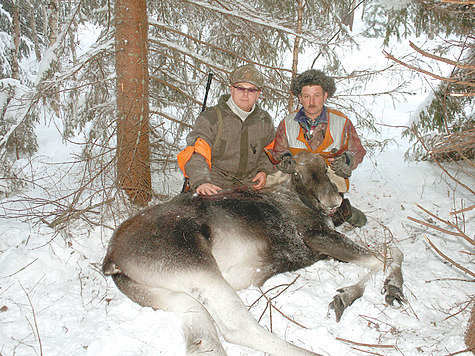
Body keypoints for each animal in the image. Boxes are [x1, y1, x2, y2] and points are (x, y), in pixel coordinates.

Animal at [102, 152, 404, 354]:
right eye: (297, 173)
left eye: (326, 166)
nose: (333, 201)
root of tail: (111, 260)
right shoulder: (316, 237)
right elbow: (385, 257)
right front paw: (373, 291)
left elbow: (388, 255)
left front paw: (372, 291)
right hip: (198, 267)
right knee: (238, 327)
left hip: (169, 296)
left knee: (204, 336)